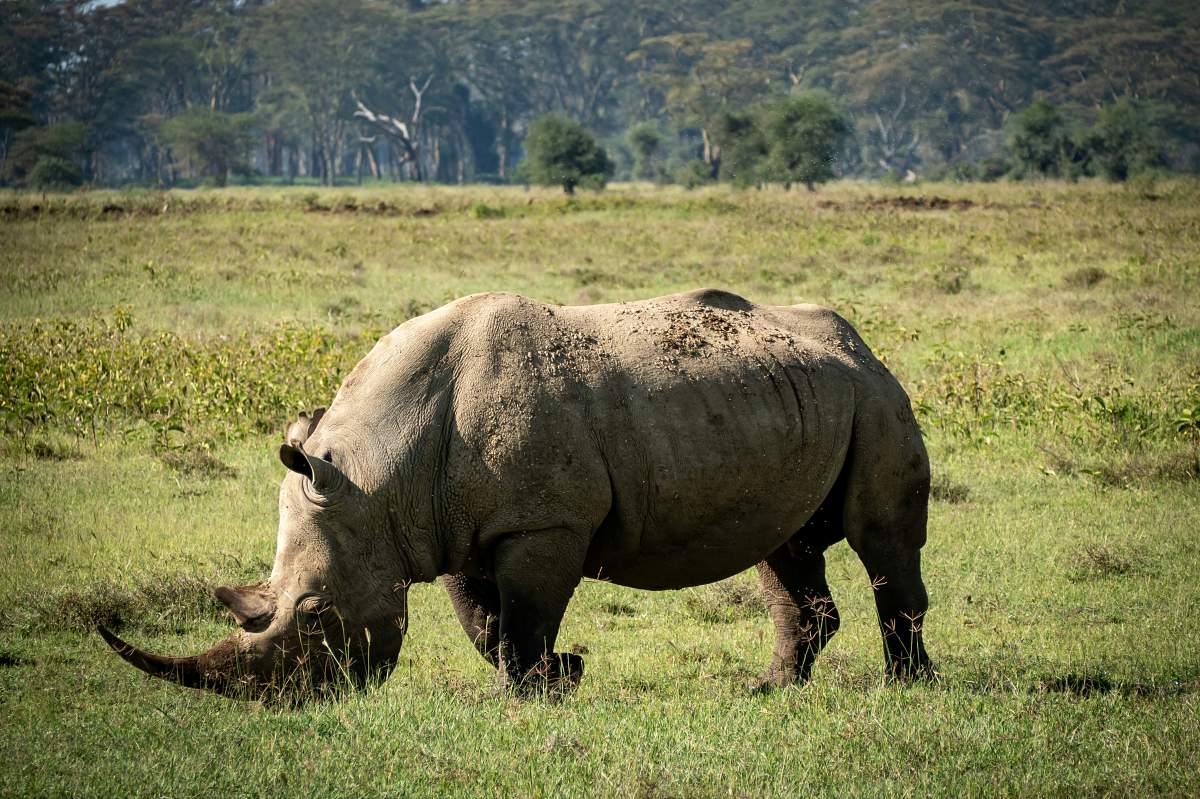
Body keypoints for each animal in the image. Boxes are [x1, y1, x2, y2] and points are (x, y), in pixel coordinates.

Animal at [100, 289, 933, 700]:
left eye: (313, 613)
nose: (291, 701)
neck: (376, 475)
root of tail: (862, 343)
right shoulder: (448, 526)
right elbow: (484, 622)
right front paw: (557, 677)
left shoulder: (544, 524)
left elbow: (525, 615)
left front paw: (533, 690)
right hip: (800, 398)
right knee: (784, 548)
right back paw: (769, 690)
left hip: (875, 395)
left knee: (880, 540)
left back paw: (907, 689)